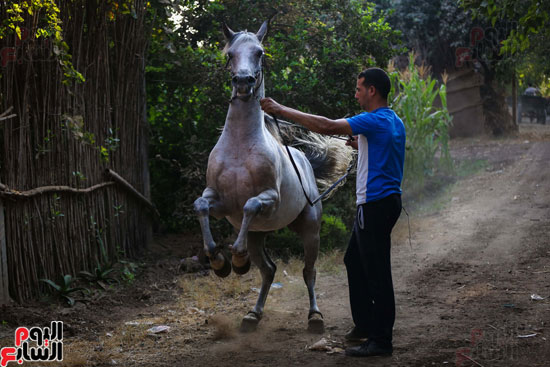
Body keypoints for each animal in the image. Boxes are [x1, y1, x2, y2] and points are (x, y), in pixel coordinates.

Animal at [194, 21, 354, 334]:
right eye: (230, 54)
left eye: (260, 52)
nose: (244, 83)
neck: (240, 146)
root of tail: (305, 160)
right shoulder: (219, 201)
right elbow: (201, 206)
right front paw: (220, 262)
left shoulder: (269, 199)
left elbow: (250, 205)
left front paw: (237, 258)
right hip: (258, 234)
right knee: (268, 271)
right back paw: (252, 315)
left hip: (310, 229)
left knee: (309, 271)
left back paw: (315, 317)